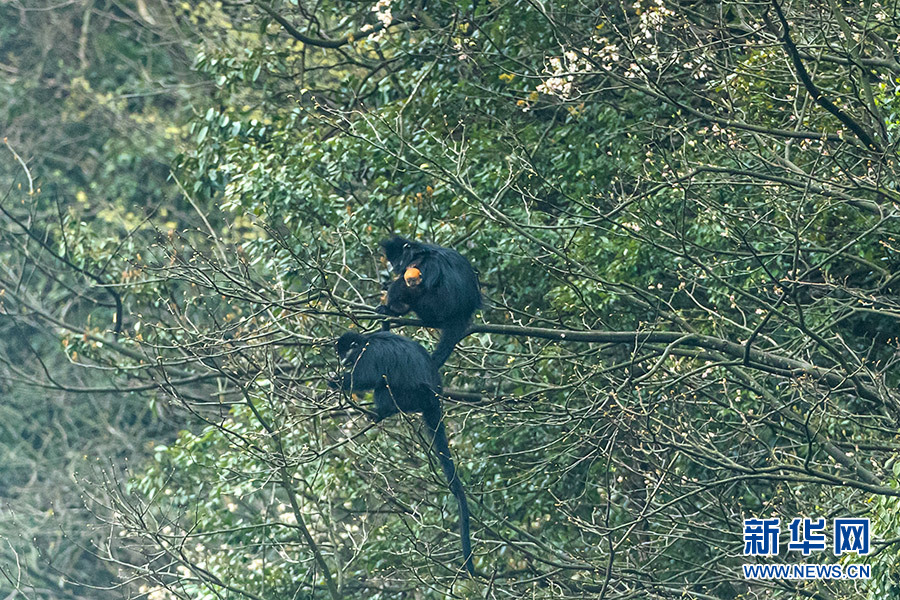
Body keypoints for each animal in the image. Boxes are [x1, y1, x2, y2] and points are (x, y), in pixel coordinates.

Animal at [328, 330, 472, 576]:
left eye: (346, 352)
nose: (343, 361)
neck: (367, 340)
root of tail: (434, 396)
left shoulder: (369, 354)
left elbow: (367, 378)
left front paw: (336, 381)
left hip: (410, 395)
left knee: (382, 385)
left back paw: (381, 412)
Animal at [376, 234, 482, 366]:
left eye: (397, 260)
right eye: (392, 261)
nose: (395, 267)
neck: (420, 254)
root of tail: (460, 314)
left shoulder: (426, 264)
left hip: (433, 307)